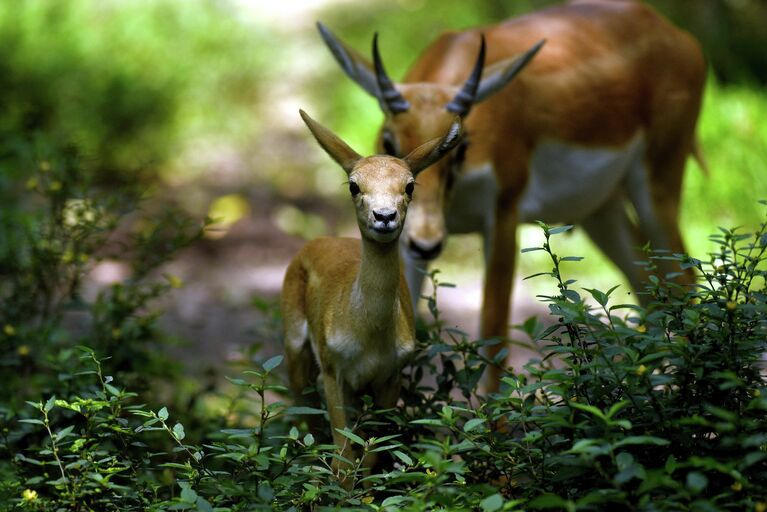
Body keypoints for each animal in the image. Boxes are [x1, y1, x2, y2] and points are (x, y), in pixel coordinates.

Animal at [284, 110, 460, 482]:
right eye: (354, 185)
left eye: (409, 185)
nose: (384, 216)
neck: (369, 334)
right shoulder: (333, 373)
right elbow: (342, 459)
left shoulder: (389, 377)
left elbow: (371, 455)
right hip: (296, 353)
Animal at [318, 0, 708, 390]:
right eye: (388, 141)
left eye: (459, 146)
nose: (427, 242)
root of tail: (678, 36)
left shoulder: (503, 215)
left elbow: (493, 330)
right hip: (601, 210)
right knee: (645, 284)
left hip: (658, 183)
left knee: (685, 278)